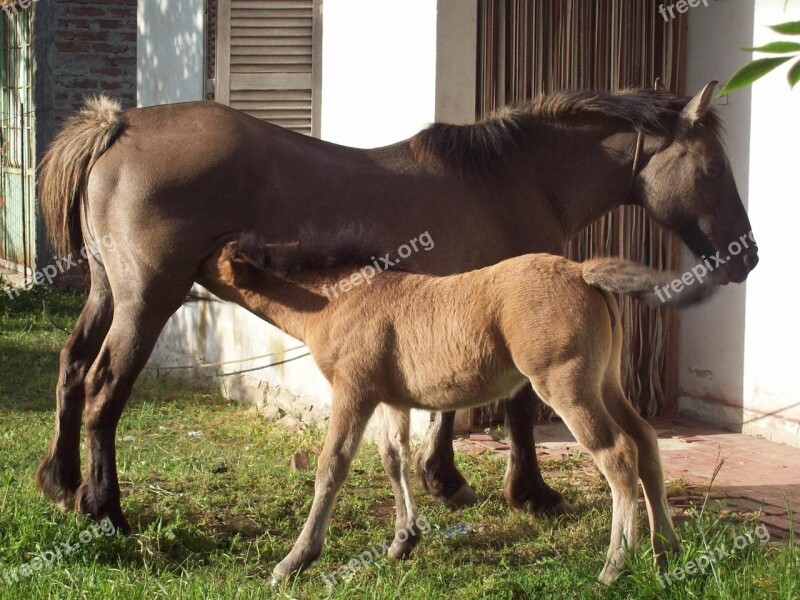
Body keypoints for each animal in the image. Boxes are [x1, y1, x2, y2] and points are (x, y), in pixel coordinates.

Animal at [32, 82, 756, 532]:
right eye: (713, 168)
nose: (746, 256)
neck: (514, 179)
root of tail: (118, 126)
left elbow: (452, 402)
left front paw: (445, 478)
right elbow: (517, 408)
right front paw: (530, 492)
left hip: (107, 293)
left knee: (71, 370)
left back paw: (61, 482)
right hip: (147, 300)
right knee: (105, 387)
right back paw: (105, 507)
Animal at [197, 232, 708, 584]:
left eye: (213, 253)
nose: (189, 268)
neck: (335, 298)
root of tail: (583, 271)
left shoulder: (354, 390)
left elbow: (332, 466)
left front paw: (295, 560)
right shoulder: (392, 399)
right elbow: (394, 459)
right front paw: (403, 541)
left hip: (566, 387)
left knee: (618, 455)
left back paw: (615, 566)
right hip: (607, 383)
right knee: (646, 442)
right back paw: (666, 550)